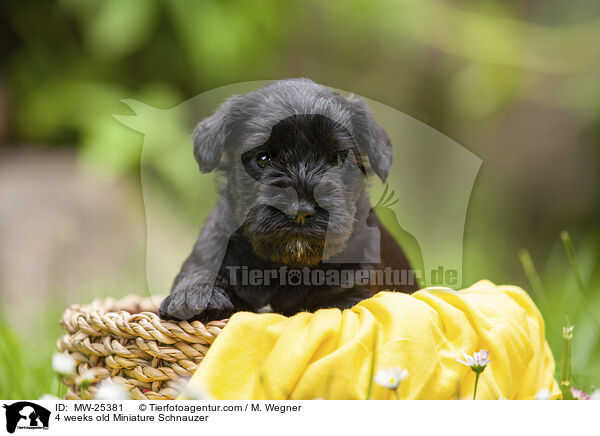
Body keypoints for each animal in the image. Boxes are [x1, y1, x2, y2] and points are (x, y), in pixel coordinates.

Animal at [159, 78, 418, 322]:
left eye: (336, 160)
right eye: (263, 158)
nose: (300, 211)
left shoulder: (354, 294)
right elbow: (202, 269)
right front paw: (195, 295)